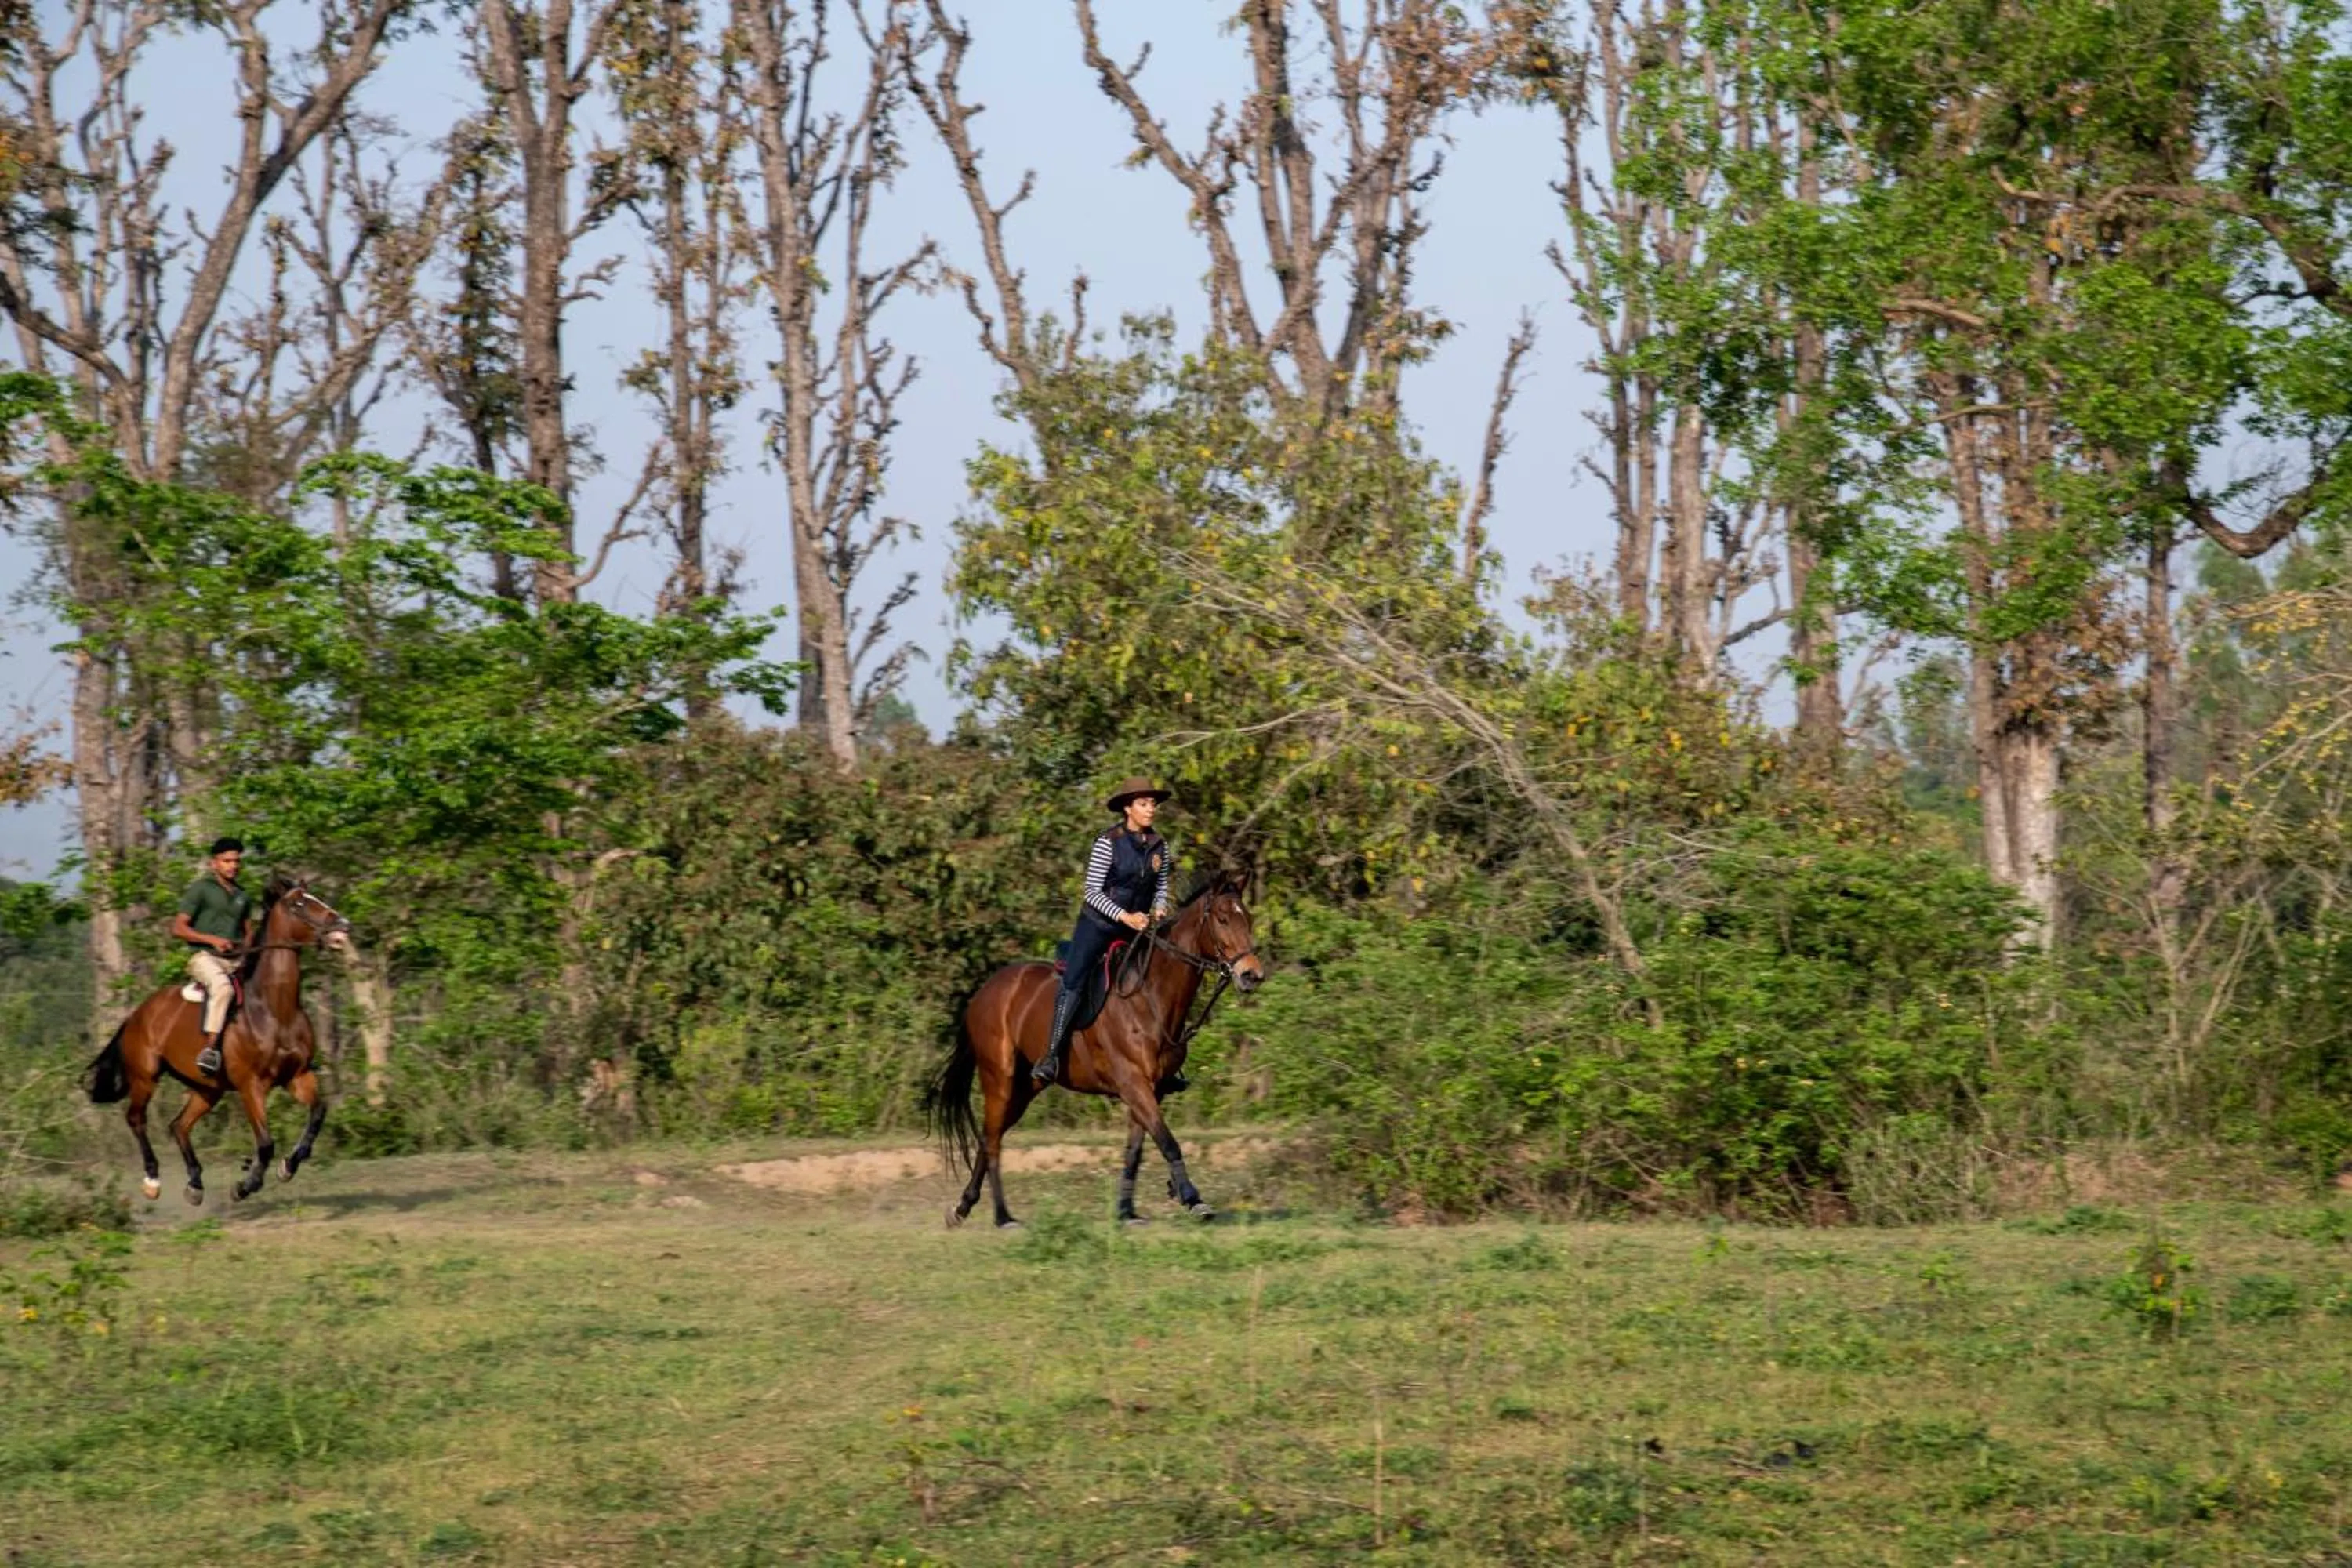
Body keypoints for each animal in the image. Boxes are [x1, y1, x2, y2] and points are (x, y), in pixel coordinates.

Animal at [83, 872, 352, 1205]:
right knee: (136, 1119)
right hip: (145, 1076)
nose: (343, 927)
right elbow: (265, 1143)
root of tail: (136, 1014)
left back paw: (195, 1184)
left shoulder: (298, 1076)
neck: (275, 1009)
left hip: (208, 1088)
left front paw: (288, 1167)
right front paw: (246, 1185)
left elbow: (318, 1113)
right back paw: (152, 1181)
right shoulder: (252, 1085)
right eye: (300, 904)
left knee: (179, 1126)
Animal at [923, 872, 1265, 1229]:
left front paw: (1127, 1212)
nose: (1252, 975)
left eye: (1248, 919)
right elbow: (1168, 1142)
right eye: (1223, 919)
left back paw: (963, 1207)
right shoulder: (1133, 1084)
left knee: (990, 1136)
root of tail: (983, 992)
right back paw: (1003, 1217)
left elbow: (1136, 1150)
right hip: (999, 1079)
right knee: (991, 1142)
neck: (1149, 998)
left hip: (1026, 1087)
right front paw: (1193, 1199)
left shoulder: (1151, 1090)